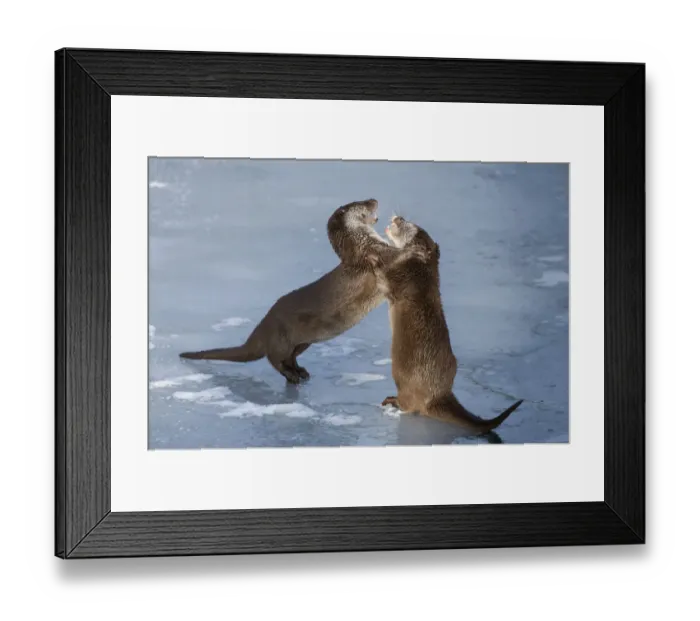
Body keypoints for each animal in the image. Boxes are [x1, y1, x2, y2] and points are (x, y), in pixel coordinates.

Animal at [179, 199, 399, 383]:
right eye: (362, 203)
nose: (374, 199)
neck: (362, 245)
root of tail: (262, 328)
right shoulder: (372, 256)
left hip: (302, 342)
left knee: (290, 357)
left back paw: (301, 372)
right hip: (281, 338)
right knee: (274, 360)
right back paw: (292, 376)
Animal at [376, 215, 523, 436]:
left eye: (410, 226)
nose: (398, 218)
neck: (421, 271)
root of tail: (439, 395)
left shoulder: (402, 275)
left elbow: (383, 276)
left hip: (403, 377)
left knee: (410, 406)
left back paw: (392, 401)